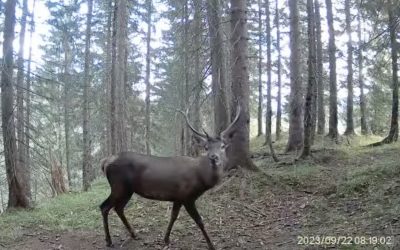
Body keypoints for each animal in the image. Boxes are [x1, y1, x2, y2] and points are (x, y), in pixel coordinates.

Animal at [99, 105, 244, 248]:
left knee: (118, 208)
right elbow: (199, 221)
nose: (214, 158)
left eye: (223, 146)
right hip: (119, 186)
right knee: (104, 206)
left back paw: (134, 234)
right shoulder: (187, 197)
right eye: (206, 147)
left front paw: (166, 239)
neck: (202, 179)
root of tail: (105, 162)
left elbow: (173, 216)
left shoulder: (178, 197)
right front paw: (211, 245)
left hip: (127, 190)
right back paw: (109, 240)